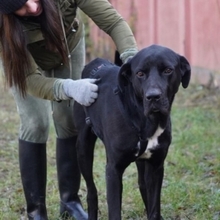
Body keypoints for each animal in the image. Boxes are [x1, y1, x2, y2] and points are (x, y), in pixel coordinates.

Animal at [73, 43, 190, 219]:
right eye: (140, 73)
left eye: (168, 70)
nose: (153, 97)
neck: (145, 121)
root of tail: (95, 63)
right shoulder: (113, 170)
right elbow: (115, 212)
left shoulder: (156, 166)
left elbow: (154, 208)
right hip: (83, 147)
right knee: (91, 191)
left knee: (142, 185)